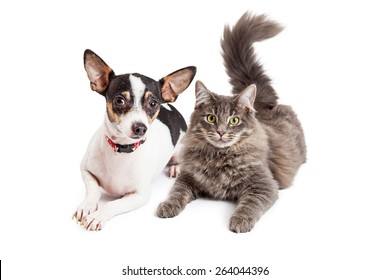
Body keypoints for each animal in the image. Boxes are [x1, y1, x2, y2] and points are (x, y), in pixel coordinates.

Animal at [72, 49, 197, 230]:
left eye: (153, 103)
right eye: (119, 100)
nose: (140, 128)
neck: (121, 148)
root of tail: (171, 107)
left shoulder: (140, 195)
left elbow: (113, 204)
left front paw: (98, 215)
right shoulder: (85, 170)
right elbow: (93, 190)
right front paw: (87, 206)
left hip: (180, 149)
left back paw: (175, 167)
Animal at [157, 12, 306, 232]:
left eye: (234, 120)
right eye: (211, 118)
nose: (221, 131)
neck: (219, 157)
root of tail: (261, 105)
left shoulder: (264, 185)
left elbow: (250, 204)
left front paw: (240, 221)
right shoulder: (188, 177)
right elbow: (176, 192)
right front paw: (167, 206)